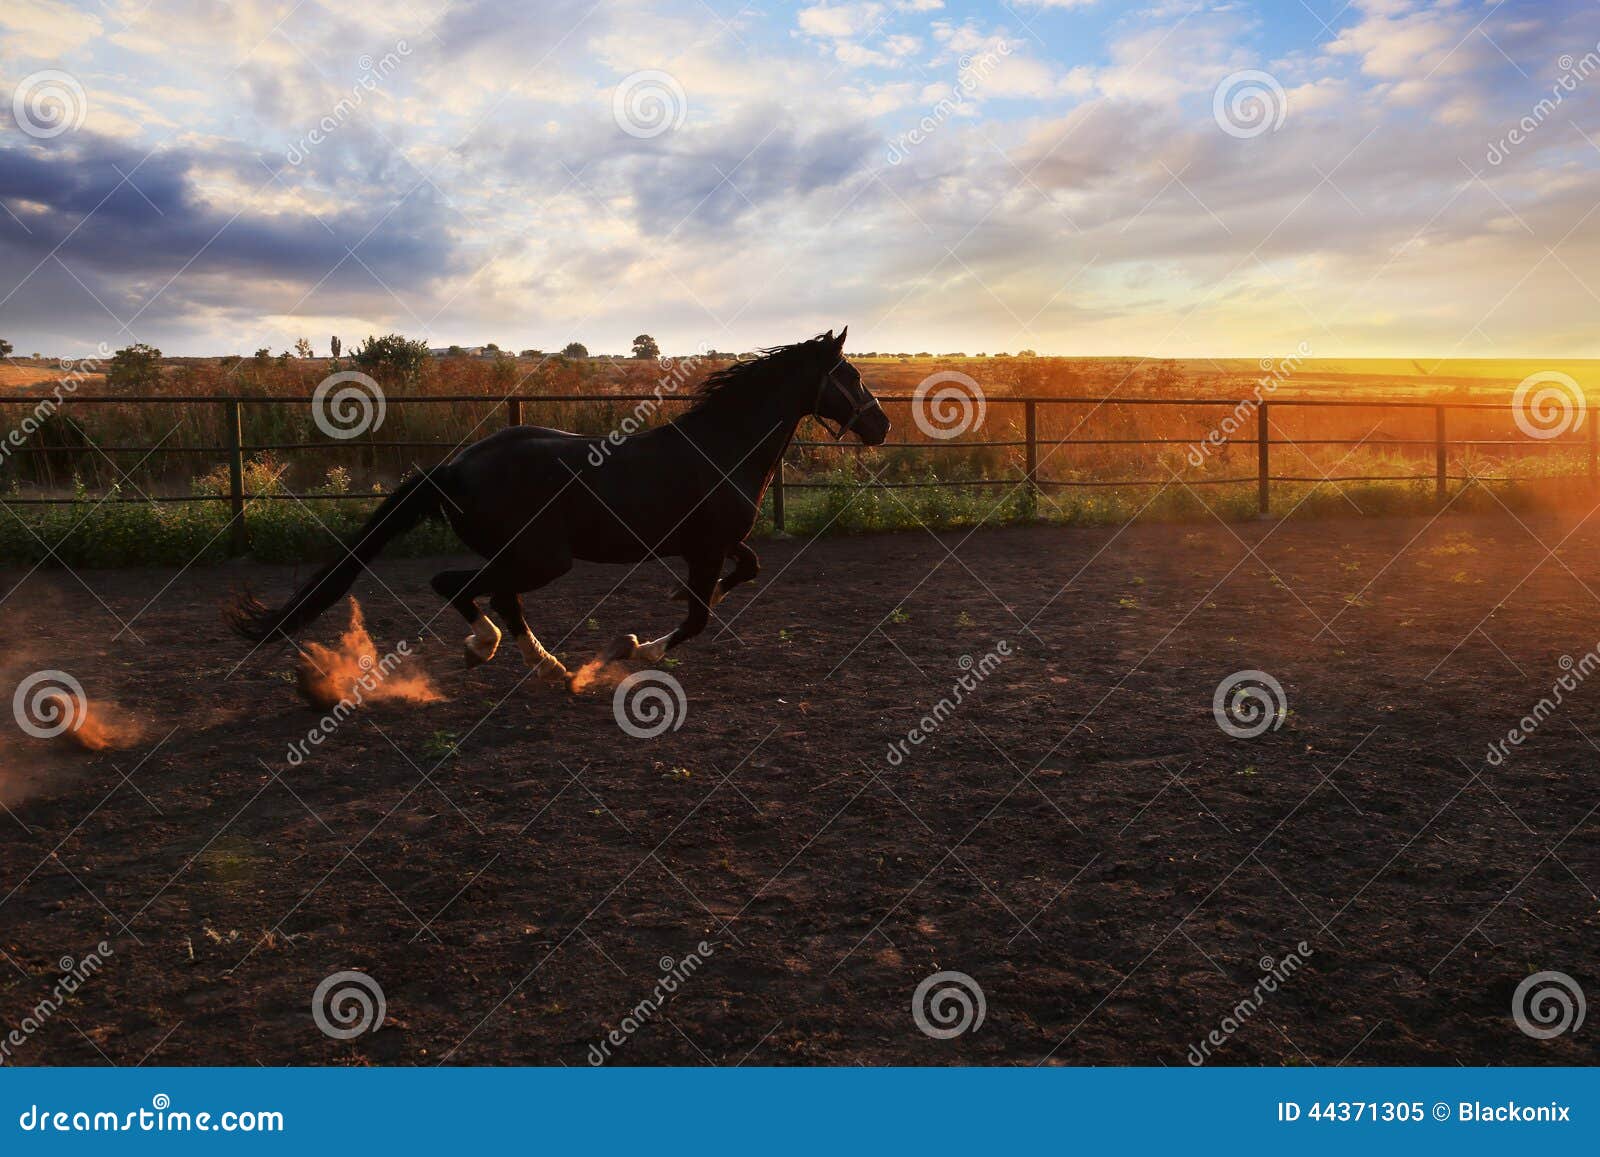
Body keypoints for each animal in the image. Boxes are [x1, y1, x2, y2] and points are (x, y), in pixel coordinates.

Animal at [230, 328, 890, 688]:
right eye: (851, 376)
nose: (882, 425)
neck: (722, 447)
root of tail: (455, 469)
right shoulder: (703, 549)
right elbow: (698, 618)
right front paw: (637, 648)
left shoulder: (716, 543)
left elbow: (746, 571)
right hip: (543, 558)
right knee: (463, 587)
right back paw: (500, 652)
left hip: (526, 557)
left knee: (496, 596)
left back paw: (541, 664)